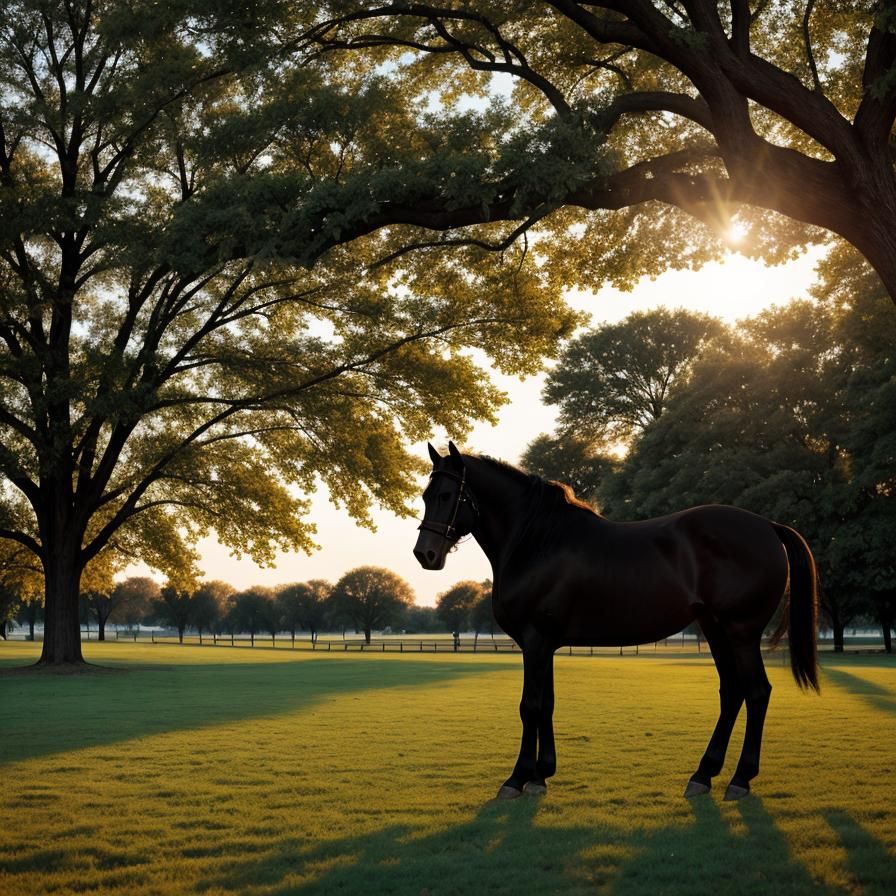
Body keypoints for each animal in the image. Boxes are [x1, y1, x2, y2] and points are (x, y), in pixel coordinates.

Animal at [413, 442, 819, 802]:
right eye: (425, 495)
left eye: (447, 495)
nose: (425, 555)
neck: (538, 541)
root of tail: (768, 525)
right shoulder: (546, 643)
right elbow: (547, 704)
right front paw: (541, 776)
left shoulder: (535, 640)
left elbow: (529, 706)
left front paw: (517, 779)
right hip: (715, 629)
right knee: (732, 692)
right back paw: (703, 774)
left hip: (741, 633)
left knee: (757, 692)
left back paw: (740, 779)